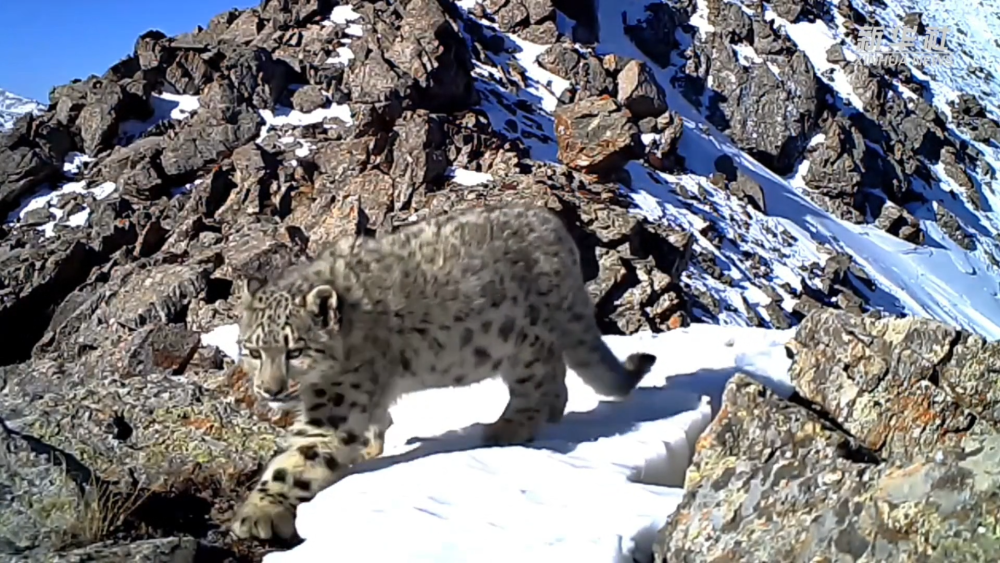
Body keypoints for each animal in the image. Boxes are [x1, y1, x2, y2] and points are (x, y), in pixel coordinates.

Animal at [230, 204, 660, 540]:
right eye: (252, 350)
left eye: (295, 350)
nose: (269, 390)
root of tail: (555, 230)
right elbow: (375, 423)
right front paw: (370, 449)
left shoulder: (336, 406)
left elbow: (298, 458)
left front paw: (257, 513)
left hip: (520, 341)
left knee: (541, 379)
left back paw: (508, 428)